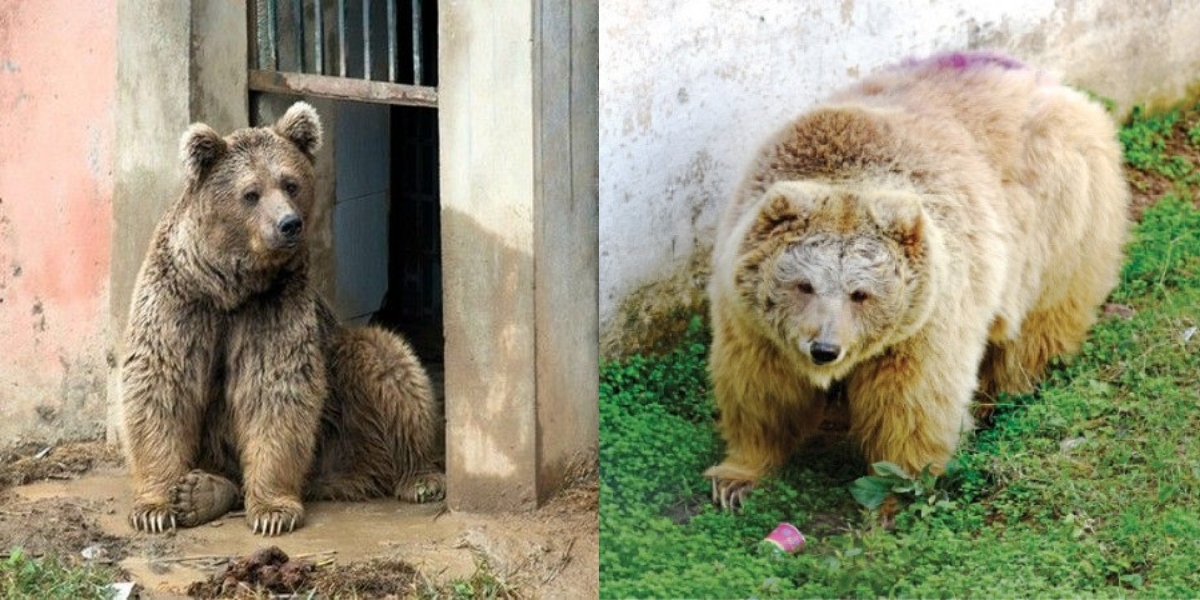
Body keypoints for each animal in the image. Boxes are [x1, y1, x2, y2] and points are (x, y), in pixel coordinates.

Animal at [120, 102, 445, 536]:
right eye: (250, 193)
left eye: (290, 183)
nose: (289, 224)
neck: (230, 286)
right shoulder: (182, 304)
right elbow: (160, 385)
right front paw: (155, 507)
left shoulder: (273, 308)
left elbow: (275, 392)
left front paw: (273, 512)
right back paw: (201, 492)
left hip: (342, 414)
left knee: (384, 359)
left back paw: (420, 477)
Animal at [704, 51, 1129, 509]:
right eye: (804, 285)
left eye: (860, 294)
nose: (824, 349)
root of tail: (1057, 84)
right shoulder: (750, 319)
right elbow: (760, 392)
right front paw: (735, 477)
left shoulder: (927, 317)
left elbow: (913, 403)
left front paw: (899, 492)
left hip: (1056, 221)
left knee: (1038, 325)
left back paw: (1006, 392)